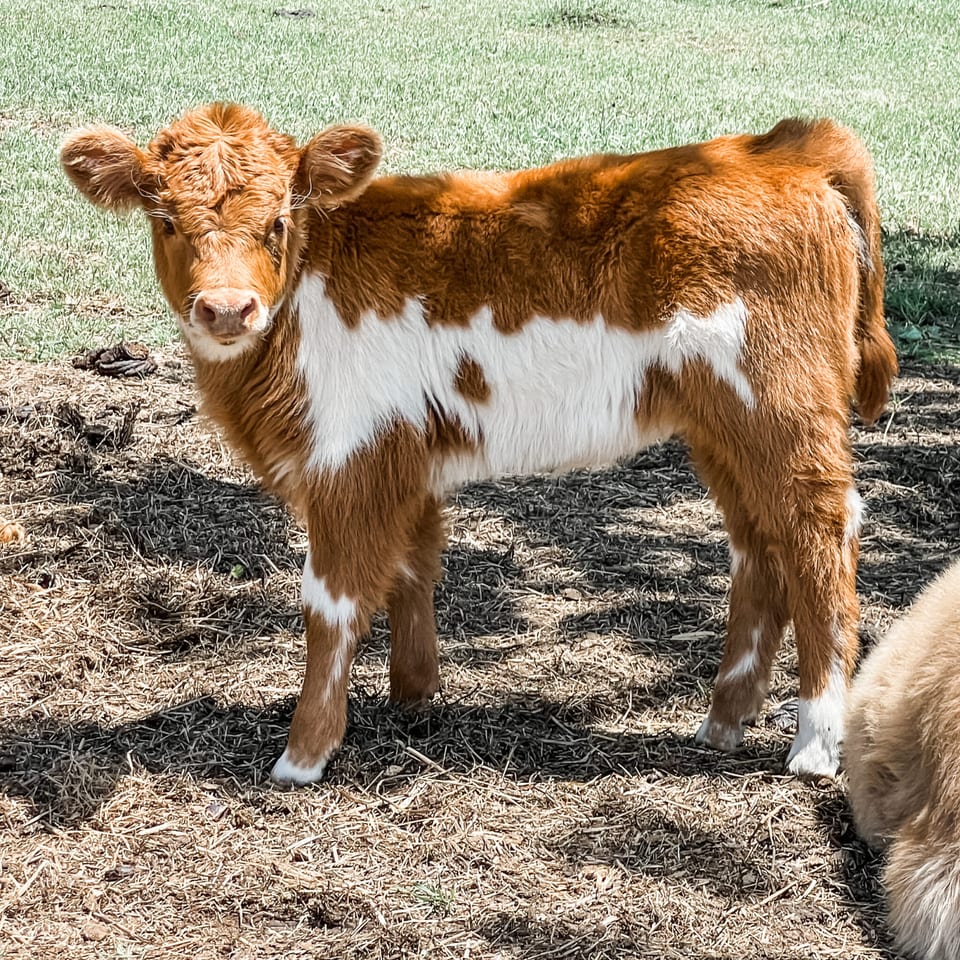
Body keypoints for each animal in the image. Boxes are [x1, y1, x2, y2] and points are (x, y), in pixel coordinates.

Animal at [61, 104, 897, 785]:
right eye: (165, 220)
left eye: (278, 223)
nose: (227, 309)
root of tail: (778, 148)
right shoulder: (405, 457)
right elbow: (412, 568)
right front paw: (414, 697)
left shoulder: (348, 457)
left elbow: (330, 602)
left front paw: (304, 753)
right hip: (720, 424)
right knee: (760, 544)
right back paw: (723, 723)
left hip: (781, 408)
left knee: (819, 532)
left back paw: (815, 745)